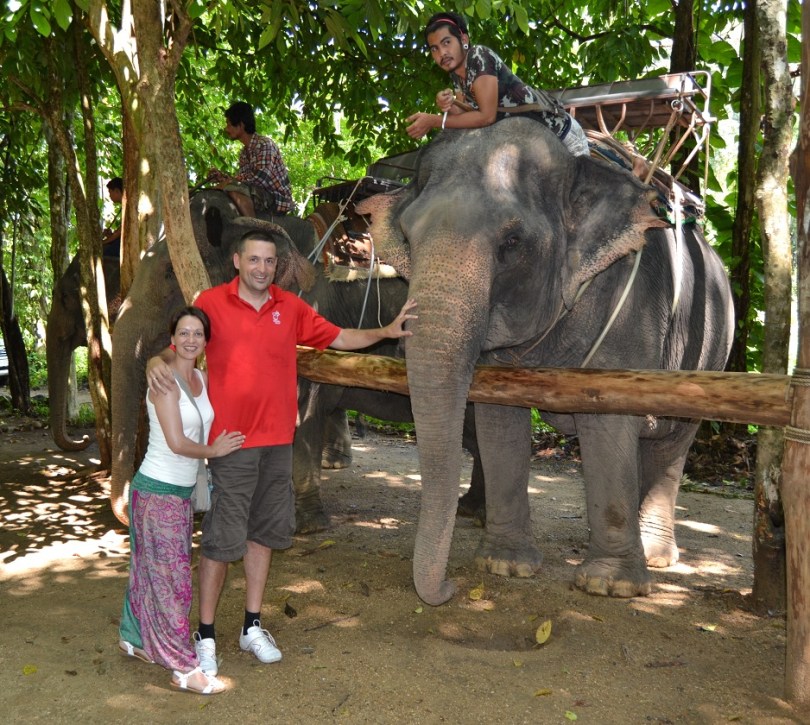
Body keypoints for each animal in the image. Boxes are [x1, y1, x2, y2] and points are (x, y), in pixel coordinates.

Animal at [356, 117, 735, 606]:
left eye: (512, 241)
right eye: (407, 235)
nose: (449, 588)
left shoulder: (630, 307)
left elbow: (608, 420)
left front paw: (608, 585)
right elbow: (499, 420)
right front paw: (504, 565)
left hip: (711, 352)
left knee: (672, 444)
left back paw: (654, 558)